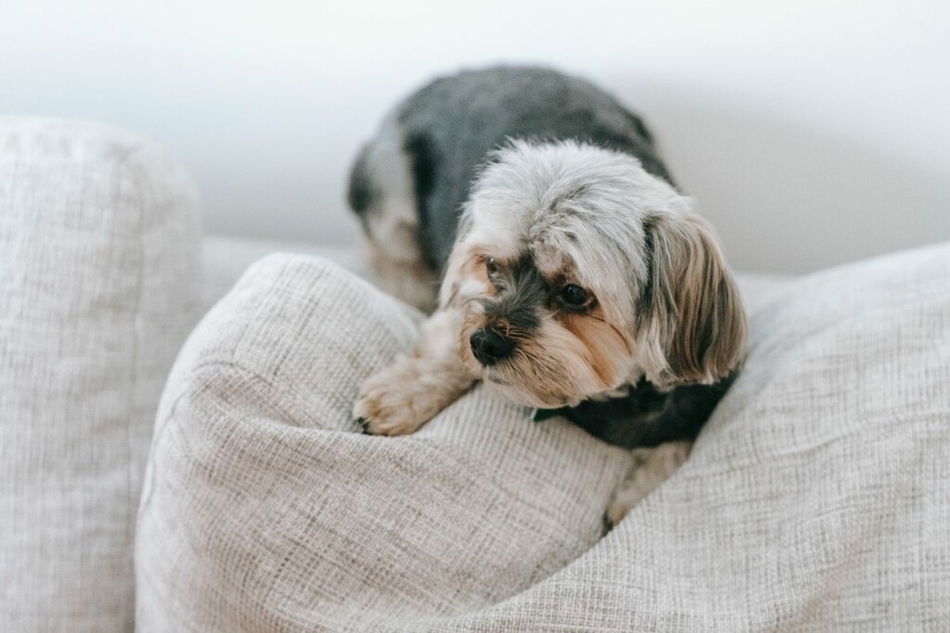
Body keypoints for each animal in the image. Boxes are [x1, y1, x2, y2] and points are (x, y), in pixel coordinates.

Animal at [350, 66, 752, 524]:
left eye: (575, 293)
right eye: (491, 266)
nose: (485, 343)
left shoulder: (698, 393)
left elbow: (674, 441)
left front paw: (637, 495)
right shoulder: (464, 305)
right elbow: (447, 344)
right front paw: (403, 395)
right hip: (389, 192)